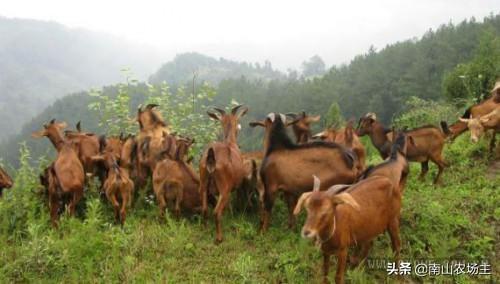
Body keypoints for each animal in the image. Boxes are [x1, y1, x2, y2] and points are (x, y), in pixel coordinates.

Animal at [197, 105, 248, 243]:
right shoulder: (233, 186)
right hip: (224, 188)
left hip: (203, 184)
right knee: (216, 212)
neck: (230, 142)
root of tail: (211, 157)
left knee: (204, 209)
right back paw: (219, 238)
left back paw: (204, 229)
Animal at [292, 134, 410, 284]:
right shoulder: (326, 251)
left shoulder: (343, 250)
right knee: (368, 244)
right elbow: (325, 273)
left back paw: (399, 276)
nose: (306, 232)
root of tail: (388, 182)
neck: (334, 227)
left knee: (396, 246)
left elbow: (338, 277)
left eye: (326, 211)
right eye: (307, 208)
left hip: (393, 220)